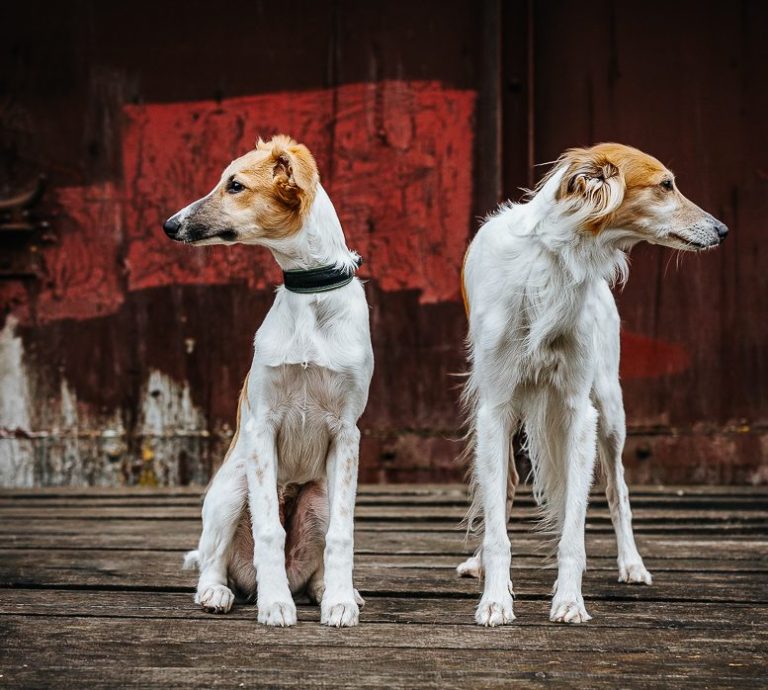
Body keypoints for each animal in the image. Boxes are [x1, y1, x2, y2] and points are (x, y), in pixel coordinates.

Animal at [163, 135, 373, 627]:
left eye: (235, 185)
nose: (169, 225)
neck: (311, 296)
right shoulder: (263, 427)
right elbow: (268, 532)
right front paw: (275, 604)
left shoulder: (347, 433)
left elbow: (343, 534)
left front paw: (339, 601)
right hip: (230, 487)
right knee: (213, 560)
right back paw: (220, 592)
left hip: (318, 494)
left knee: (315, 564)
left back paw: (332, 591)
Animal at [457, 143, 728, 625]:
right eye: (666, 185)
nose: (723, 230)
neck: (554, 263)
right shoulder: (495, 407)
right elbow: (498, 525)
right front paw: (495, 599)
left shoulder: (577, 410)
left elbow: (574, 527)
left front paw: (568, 600)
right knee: (505, 484)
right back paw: (481, 564)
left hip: (611, 411)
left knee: (618, 490)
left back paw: (633, 565)